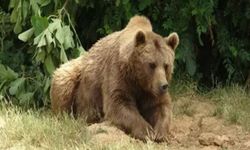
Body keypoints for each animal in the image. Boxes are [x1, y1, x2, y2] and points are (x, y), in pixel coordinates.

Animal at [50, 15, 180, 142]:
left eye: (166, 65)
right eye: (151, 64)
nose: (163, 86)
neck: (137, 79)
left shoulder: (150, 89)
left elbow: (160, 106)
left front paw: (160, 132)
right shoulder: (117, 73)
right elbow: (118, 104)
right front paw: (147, 131)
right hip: (76, 72)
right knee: (63, 80)